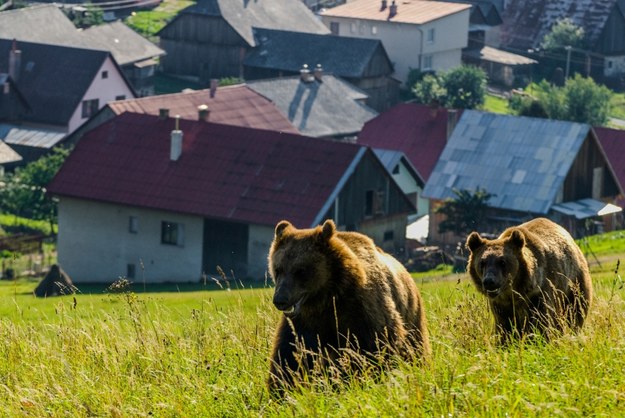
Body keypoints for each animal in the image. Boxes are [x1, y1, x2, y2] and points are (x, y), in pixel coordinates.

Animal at [266, 220, 432, 394]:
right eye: (278, 269)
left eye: (300, 271)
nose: (280, 299)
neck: (326, 296)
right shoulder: (304, 321)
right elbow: (290, 352)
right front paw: (281, 388)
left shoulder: (362, 309)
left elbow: (378, 343)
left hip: (412, 314)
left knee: (415, 347)